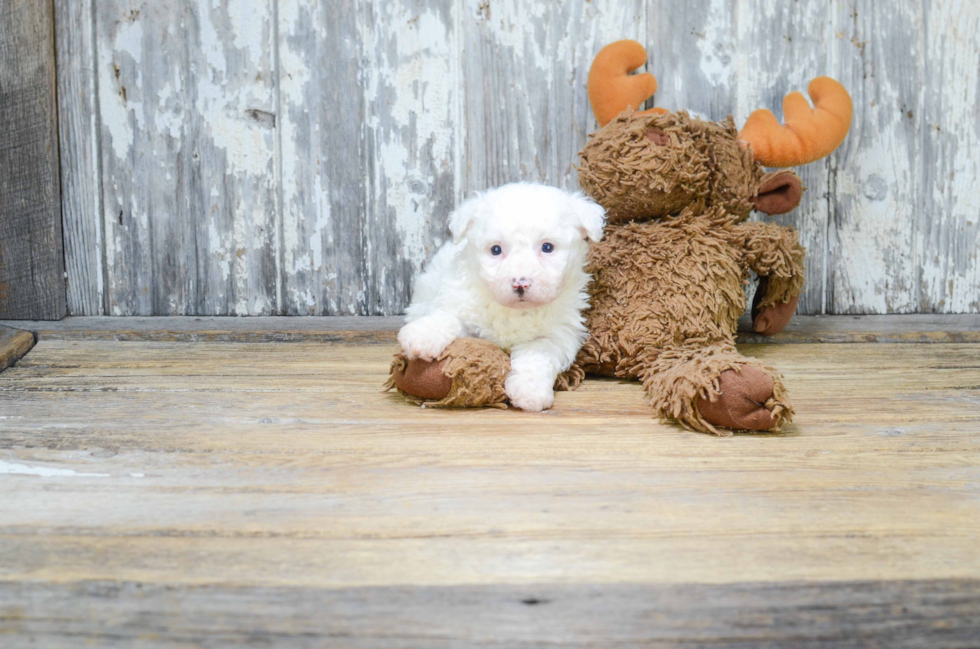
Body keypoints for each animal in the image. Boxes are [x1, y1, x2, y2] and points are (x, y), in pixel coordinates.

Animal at [398, 182, 604, 410]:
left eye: (547, 247)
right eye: (495, 250)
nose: (520, 283)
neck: (514, 310)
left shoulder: (558, 335)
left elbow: (538, 355)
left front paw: (530, 390)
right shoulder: (461, 302)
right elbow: (447, 317)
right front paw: (423, 335)